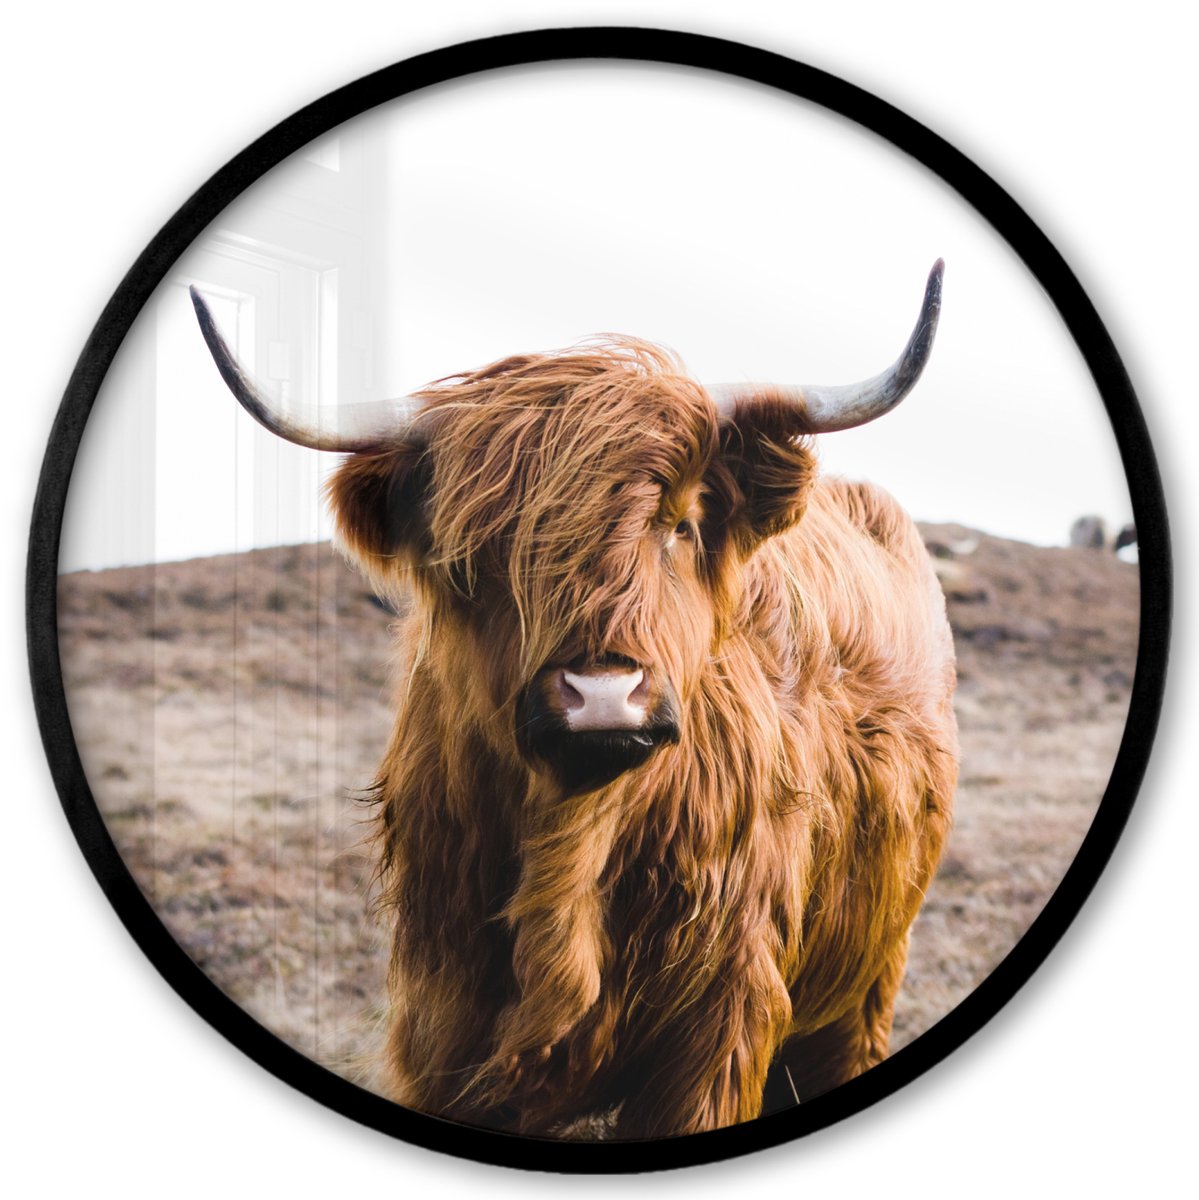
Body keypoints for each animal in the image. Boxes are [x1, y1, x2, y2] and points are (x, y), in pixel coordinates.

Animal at [190, 260, 957, 1139]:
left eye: (680, 524)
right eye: (472, 553)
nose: (602, 694)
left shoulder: (718, 1027)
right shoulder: (440, 1019)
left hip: (868, 977)